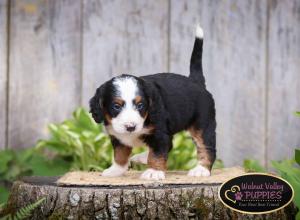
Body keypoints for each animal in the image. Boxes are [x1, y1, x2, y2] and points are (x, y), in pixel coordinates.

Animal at [89, 25, 216, 180]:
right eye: (116, 106)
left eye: (140, 105)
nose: (130, 127)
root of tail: (195, 81)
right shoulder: (118, 137)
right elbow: (120, 154)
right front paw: (116, 170)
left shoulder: (159, 133)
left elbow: (157, 153)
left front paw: (154, 172)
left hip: (203, 125)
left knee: (207, 147)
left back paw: (201, 170)